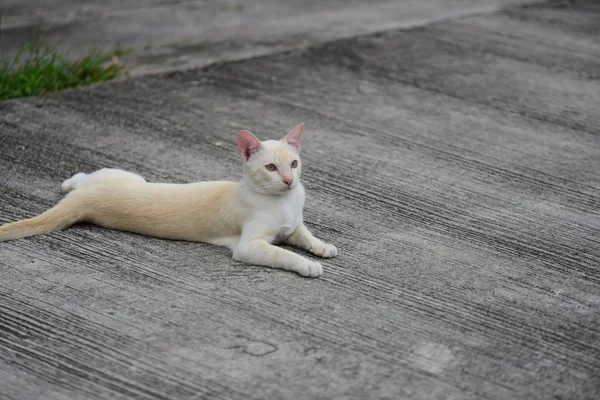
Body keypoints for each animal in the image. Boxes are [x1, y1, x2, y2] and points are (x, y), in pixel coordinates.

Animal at [0, 123, 338, 276]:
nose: (289, 180)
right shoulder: (250, 246)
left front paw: (323, 248)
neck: (285, 202)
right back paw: (68, 181)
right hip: (126, 175)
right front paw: (308, 265)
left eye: (293, 164)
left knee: (81, 181)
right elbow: (284, 254)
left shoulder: (294, 226)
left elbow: (306, 236)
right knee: (84, 176)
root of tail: (85, 200)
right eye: (270, 168)